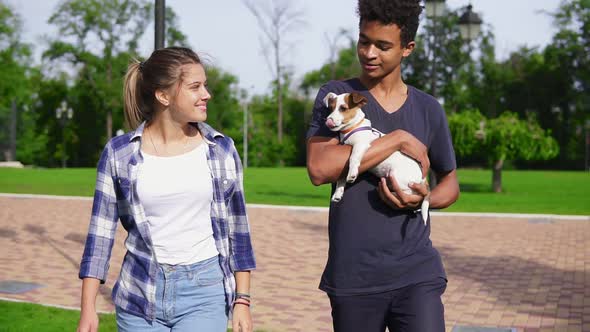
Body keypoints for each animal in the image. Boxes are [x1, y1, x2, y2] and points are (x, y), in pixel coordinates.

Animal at [324, 92, 430, 224]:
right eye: (331, 108)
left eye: (343, 108)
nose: (328, 120)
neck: (353, 128)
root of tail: (423, 178)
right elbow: (341, 177)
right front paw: (338, 192)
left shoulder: (360, 145)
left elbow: (353, 159)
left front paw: (352, 173)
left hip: (399, 178)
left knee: (410, 192)